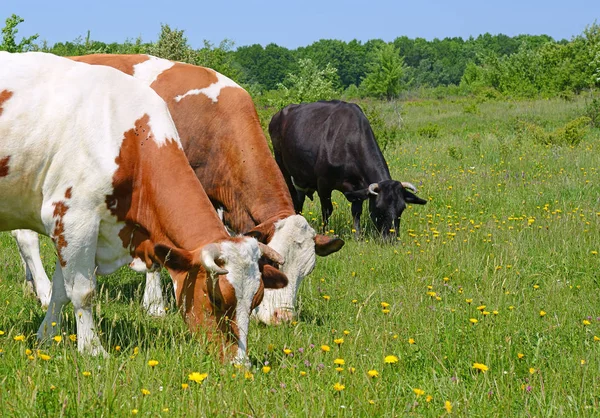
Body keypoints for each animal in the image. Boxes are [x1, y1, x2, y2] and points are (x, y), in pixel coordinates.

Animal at [10, 53, 342, 326]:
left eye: (306, 271)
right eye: (273, 264)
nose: (281, 319)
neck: (212, 121)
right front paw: (155, 305)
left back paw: (30, 285)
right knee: (26, 237)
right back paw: (43, 291)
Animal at [268, 99, 426, 238]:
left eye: (402, 208)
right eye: (378, 207)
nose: (392, 238)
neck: (349, 144)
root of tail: (278, 114)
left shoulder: (359, 188)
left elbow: (356, 211)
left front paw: (357, 235)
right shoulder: (323, 184)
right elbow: (327, 210)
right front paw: (325, 233)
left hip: (300, 178)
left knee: (299, 200)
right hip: (282, 167)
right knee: (293, 197)